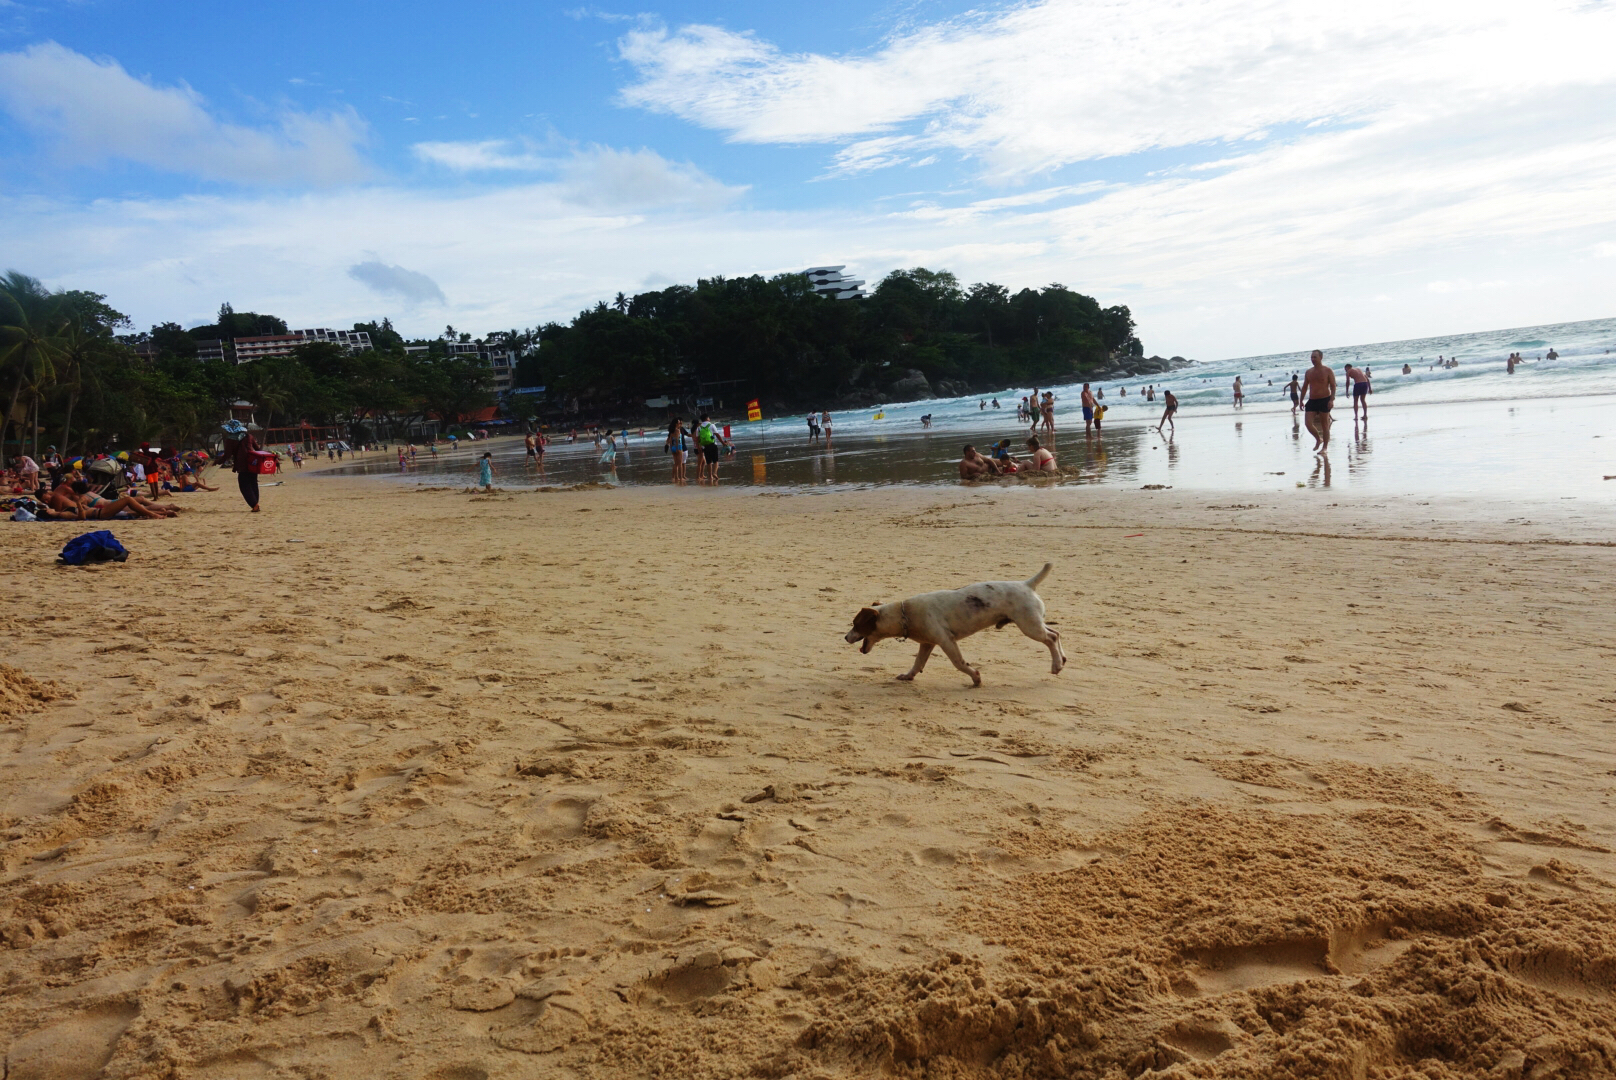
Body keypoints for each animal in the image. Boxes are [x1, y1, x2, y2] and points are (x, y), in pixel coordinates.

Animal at [840, 565, 1066, 682]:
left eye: (855, 624)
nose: (845, 637)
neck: (905, 614)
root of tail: (1027, 584)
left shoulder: (946, 641)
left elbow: (959, 663)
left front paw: (975, 677)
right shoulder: (927, 644)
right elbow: (918, 663)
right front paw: (908, 676)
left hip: (1029, 626)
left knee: (1051, 637)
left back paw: (1056, 665)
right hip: (1034, 622)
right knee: (1055, 633)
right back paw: (1062, 659)